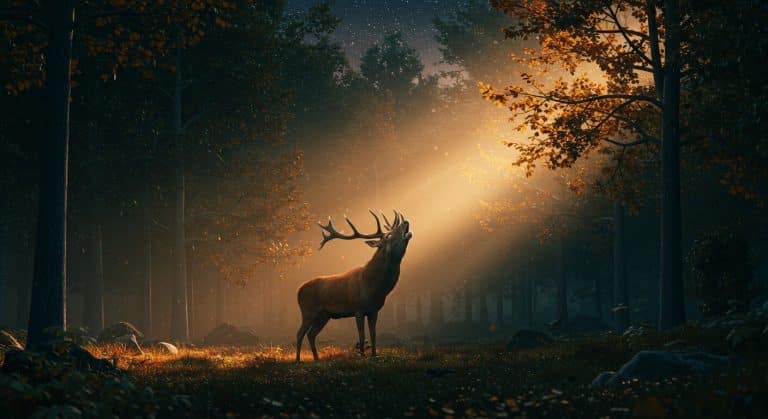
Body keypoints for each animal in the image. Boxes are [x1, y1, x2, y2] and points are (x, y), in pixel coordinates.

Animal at [295, 210, 412, 362]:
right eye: (389, 236)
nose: (405, 222)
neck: (375, 286)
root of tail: (298, 290)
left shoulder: (374, 310)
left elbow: (373, 335)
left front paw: (374, 355)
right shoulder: (358, 308)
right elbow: (361, 336)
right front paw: (362, 357)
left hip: (324, 315)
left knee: (311, 334)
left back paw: (316, 359)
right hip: (307, 310)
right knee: (300, 333)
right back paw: (298, 360)